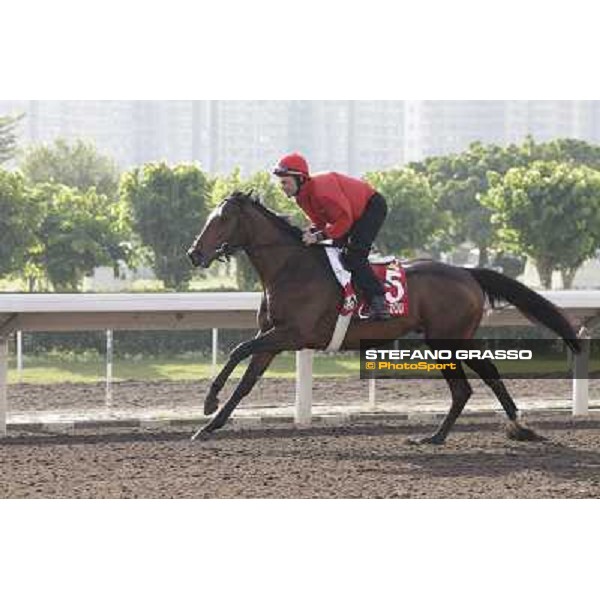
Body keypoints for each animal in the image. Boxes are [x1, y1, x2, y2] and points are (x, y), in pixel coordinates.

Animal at [186, 190, 580, 442]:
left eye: (222, 219)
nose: (194, 253)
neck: (290, 267)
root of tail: (467, 272)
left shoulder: (292, 334)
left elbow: (237, 351)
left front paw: (208, 402)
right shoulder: (272, 338)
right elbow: (246, 382)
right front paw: (209, 425)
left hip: (446, 340)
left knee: (465, 387)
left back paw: (444, 436)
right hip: (455, 339)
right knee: (482, 378)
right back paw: (503, 428)